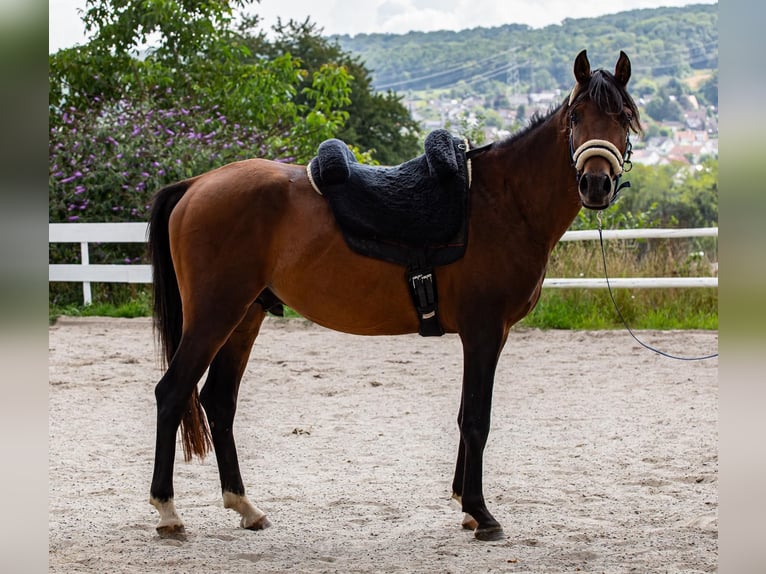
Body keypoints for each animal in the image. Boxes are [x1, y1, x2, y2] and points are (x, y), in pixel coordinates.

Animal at [147, 50, 640, 544]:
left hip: (245, 316)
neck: (503, 201)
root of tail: (196, 185)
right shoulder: (484, 331)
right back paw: (168, 512)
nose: (596, 184)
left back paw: (246, 507)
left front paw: (464, 505)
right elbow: (476, 419)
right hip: (215, 315)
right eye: (576, 116)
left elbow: (465, 415)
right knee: (172, 393)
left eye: (623, 117)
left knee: (218, 401)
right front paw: (481, 513)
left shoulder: (486, 335)